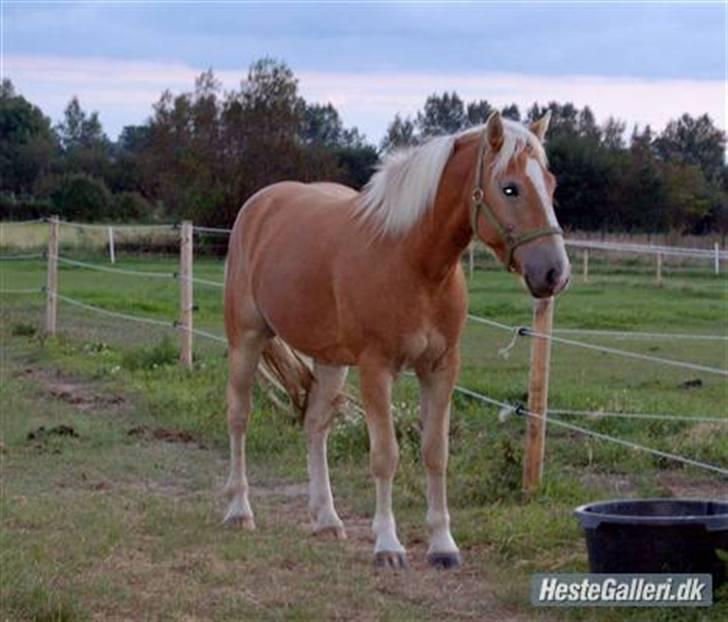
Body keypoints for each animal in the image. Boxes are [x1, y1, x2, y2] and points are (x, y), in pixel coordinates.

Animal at [222, 111, 568, 572]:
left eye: (550, 184)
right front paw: (388, 544)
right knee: (239, 417)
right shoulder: (376, 368)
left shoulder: (440, 368)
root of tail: (260, 203)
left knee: (315, 425)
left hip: (331, 361)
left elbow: (435, 452)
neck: (413, 261)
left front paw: (443, 545)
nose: (554, 273)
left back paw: (326, 519)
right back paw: (239, 510)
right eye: (509, 187)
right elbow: (385, 456)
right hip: (247, 340)